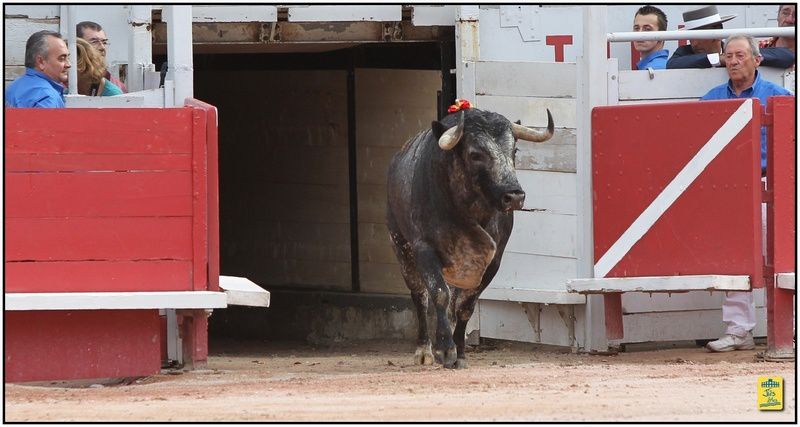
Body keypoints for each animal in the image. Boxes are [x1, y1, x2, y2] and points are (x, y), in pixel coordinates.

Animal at [384, 108, 552, 370]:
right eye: (475, 154)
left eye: (514, 151)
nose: (515, 196)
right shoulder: (424, 249)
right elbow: (438, 294)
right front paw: (445, 349)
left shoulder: (493, 261)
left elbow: (465, 306)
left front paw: (459, 351)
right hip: (401, 247)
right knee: (420, 296)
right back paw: (424, 350)